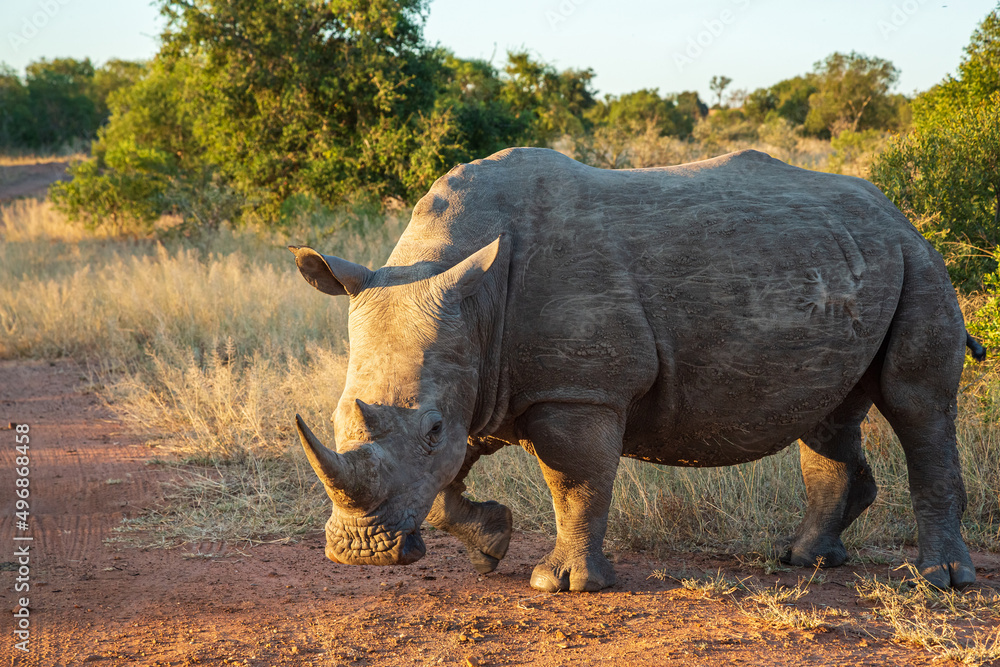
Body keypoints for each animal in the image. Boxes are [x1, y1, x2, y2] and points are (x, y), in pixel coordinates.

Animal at [289, 147, 984, 592]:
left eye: (431, 428)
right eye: (334, 419)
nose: (359, 553)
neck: (467, 281)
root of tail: (898, 213)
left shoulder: (580, 389)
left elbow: (574, 482)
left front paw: (562, 584)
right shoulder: (484, 374)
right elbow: (443, 485)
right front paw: (491, 542)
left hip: (920, 262)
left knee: (917, 405)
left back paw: (941, 581)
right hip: (845, 261)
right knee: (828, 412)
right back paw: (805, 560)